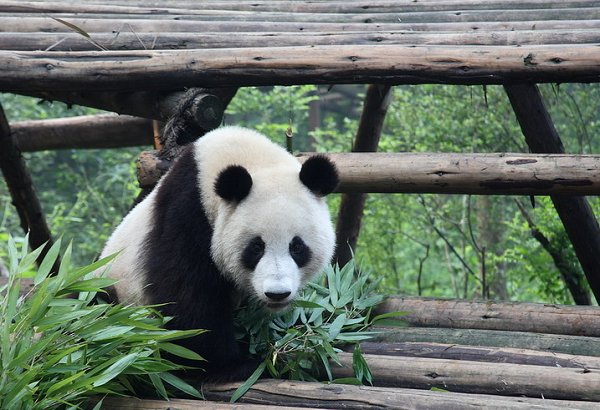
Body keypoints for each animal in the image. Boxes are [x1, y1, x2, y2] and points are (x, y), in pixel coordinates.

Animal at [101, 125, 340, 382]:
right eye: (256, 247)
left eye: (297, 247)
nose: (277, 294)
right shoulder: (187, 214)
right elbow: (186, 294)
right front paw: (234, 365)